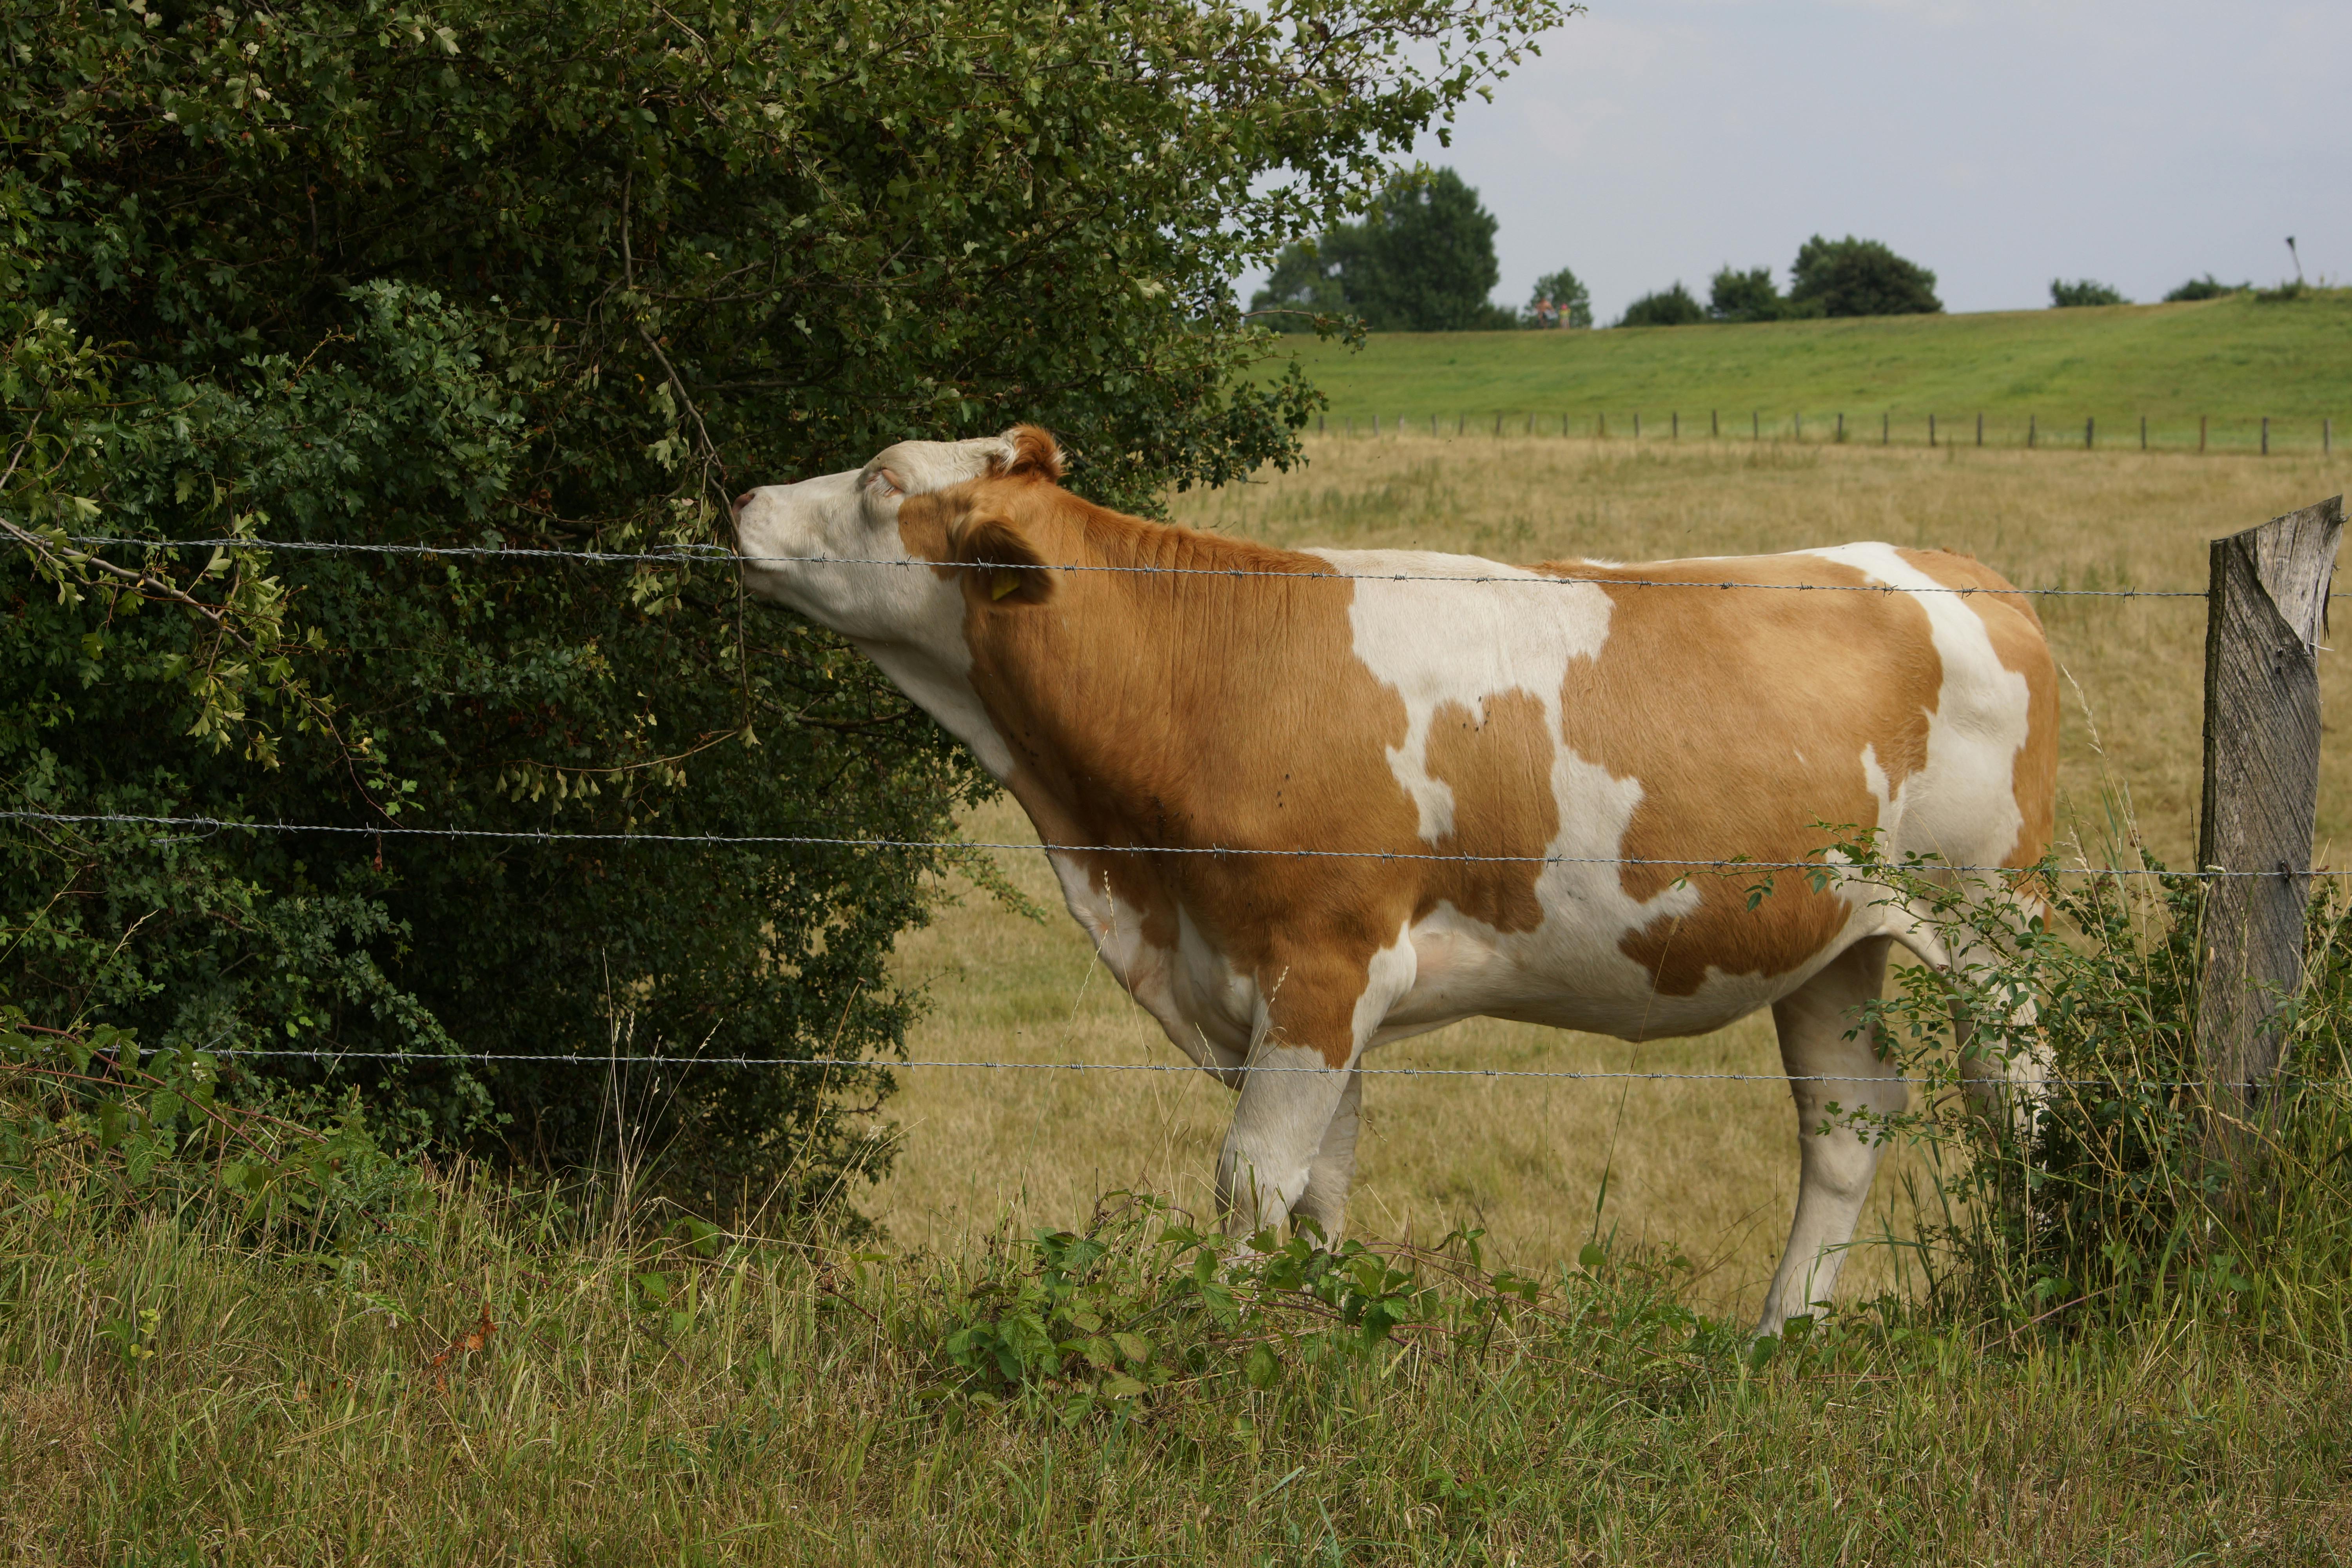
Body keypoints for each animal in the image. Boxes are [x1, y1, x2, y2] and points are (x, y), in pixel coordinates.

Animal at [734, 425, 2060, 1326]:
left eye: (882, 480)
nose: (742, 494)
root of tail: (1955, 568)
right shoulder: (1280, 978)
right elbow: (1321, 1184)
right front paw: (1316, 1330)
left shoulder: (1326, 962)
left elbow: (1250, 1177)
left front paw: (1221, 1329)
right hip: (1834, 937)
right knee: (1846, 1122)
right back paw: (1781, 1334)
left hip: (1992, 919)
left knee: (2023, 1101)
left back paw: (2040, 1296)